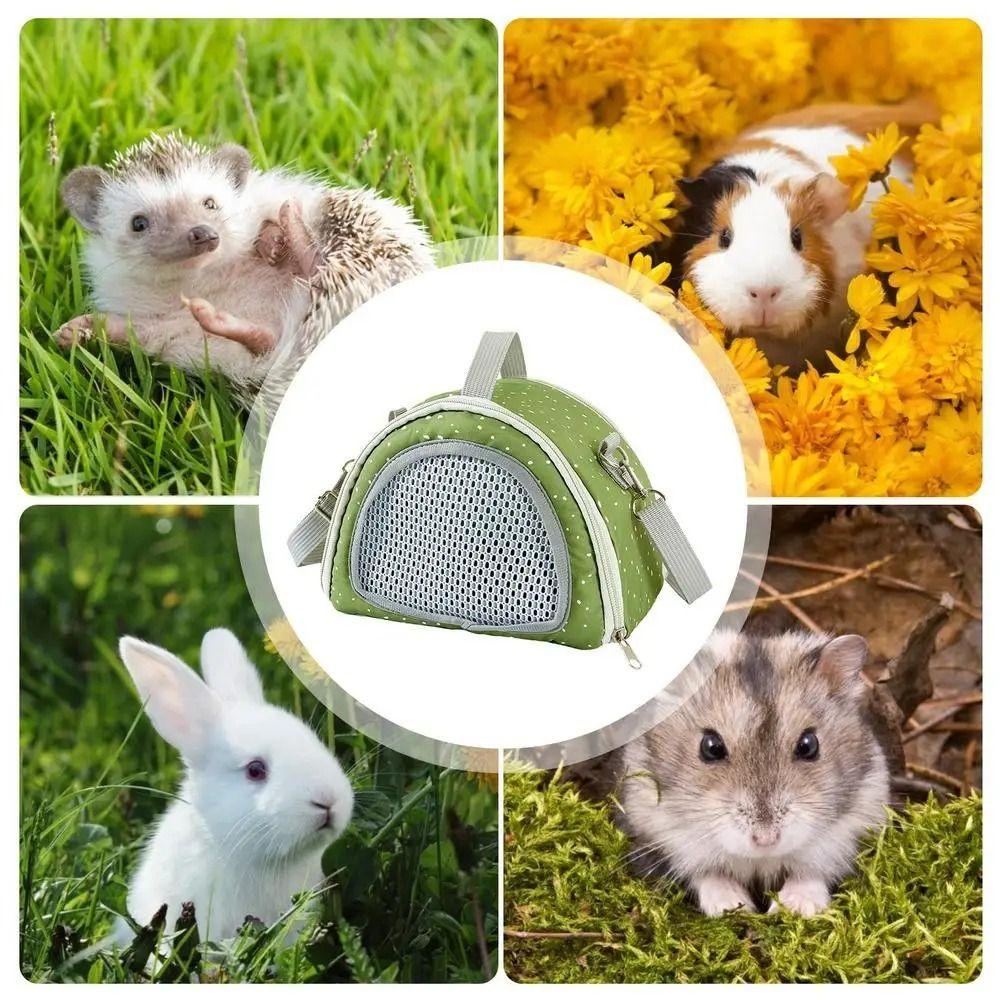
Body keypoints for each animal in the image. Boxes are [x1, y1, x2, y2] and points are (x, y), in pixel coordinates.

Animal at [612, 628, 890, 917]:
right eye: (710, 747)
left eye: (809, 745)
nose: (766, 840)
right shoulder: (659, 828)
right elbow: (707, 874)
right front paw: (734, 906)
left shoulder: (851, 827)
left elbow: (811, 873)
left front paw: (795, 908)